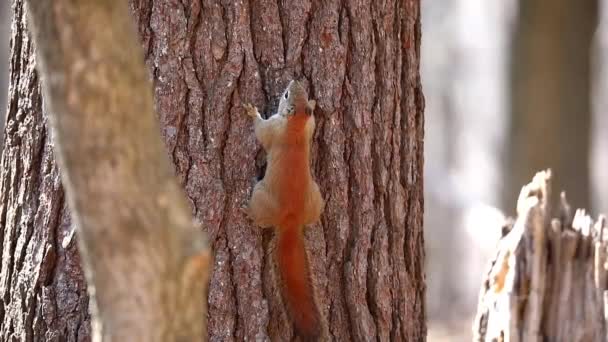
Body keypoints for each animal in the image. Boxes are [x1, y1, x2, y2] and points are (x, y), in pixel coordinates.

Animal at [243, 79, 326, 340]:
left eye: (286, 94)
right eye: (295, 91)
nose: (294, 79)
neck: (296, 127)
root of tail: (291, 221)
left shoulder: (274, 129)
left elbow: (261, 131)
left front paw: (252, 112)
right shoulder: (308, 126)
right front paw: (314, 104)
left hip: (261, 195)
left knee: (260, 218)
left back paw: (248, 212)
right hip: (315, 196)